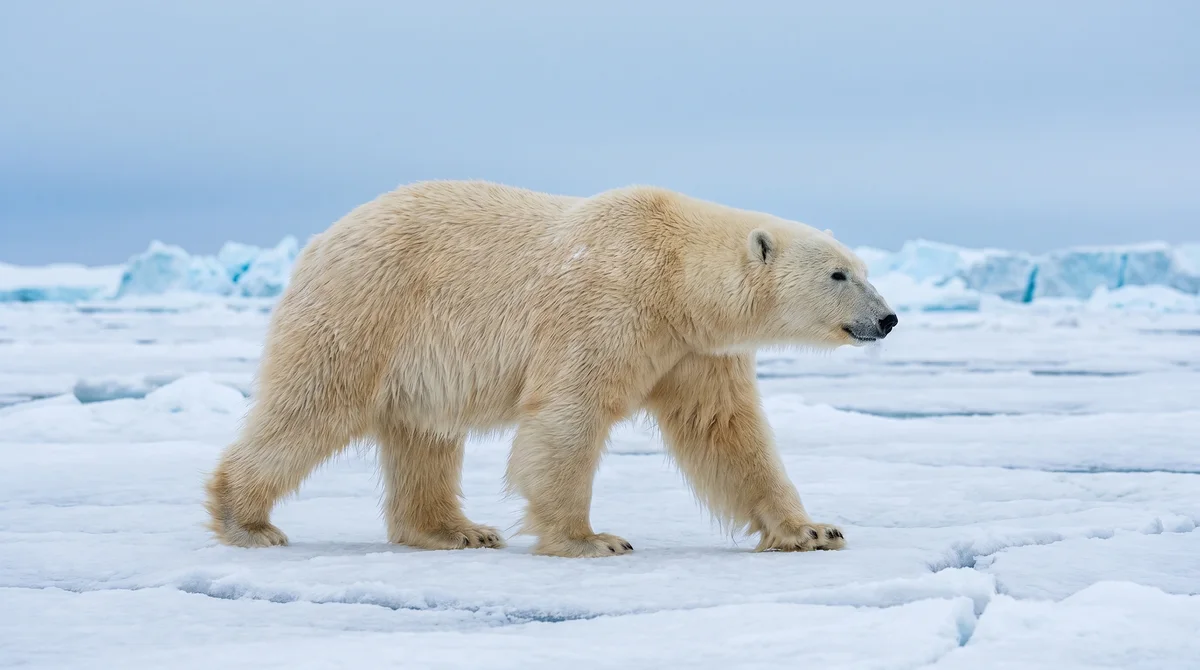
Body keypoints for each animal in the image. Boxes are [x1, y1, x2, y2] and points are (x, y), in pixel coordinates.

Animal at [204, 180, 897, 557]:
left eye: (864, 269)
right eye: (840, 275)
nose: (888, 318)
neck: (675, 272)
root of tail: (319, 240)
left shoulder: (694, 348)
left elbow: (725, 432)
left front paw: (813, 530)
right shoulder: (608, 302)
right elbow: (569, 412)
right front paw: (591, 539)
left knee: (424, 435)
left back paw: (455, 531)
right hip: (367, 307)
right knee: (314, 404)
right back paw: (247, 520)